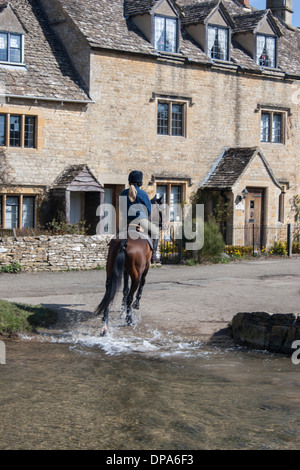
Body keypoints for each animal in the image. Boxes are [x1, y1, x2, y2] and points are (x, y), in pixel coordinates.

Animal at [95, 195, 166, 334]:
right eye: (162, 210)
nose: (163, 225)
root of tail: (124, 240)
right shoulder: (145, 268)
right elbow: (141, 284)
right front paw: (136, 305)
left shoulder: (124, 271)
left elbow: (125, 290)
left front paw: (122, 309)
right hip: (136, 276)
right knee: (131, 295)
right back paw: (129, 319)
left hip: (110, 272)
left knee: (109, 294)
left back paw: (105, 323)